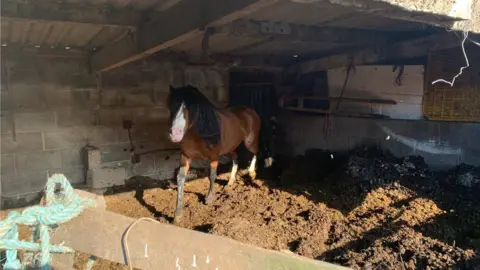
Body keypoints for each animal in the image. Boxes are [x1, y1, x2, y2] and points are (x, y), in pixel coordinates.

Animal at [169, 85, 266, 224]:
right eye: (172, 105)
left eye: (191, 107)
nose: (175, 134)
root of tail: (250, 110)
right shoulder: (185, 156)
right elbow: (180, 179)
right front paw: (177, 214)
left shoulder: (214, 156)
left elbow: (212, 175)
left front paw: (209, 198)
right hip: (230, 146)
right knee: (236, 157)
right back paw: (230, 181)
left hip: (250, 141)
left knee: (255, 152)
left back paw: (252, 173)